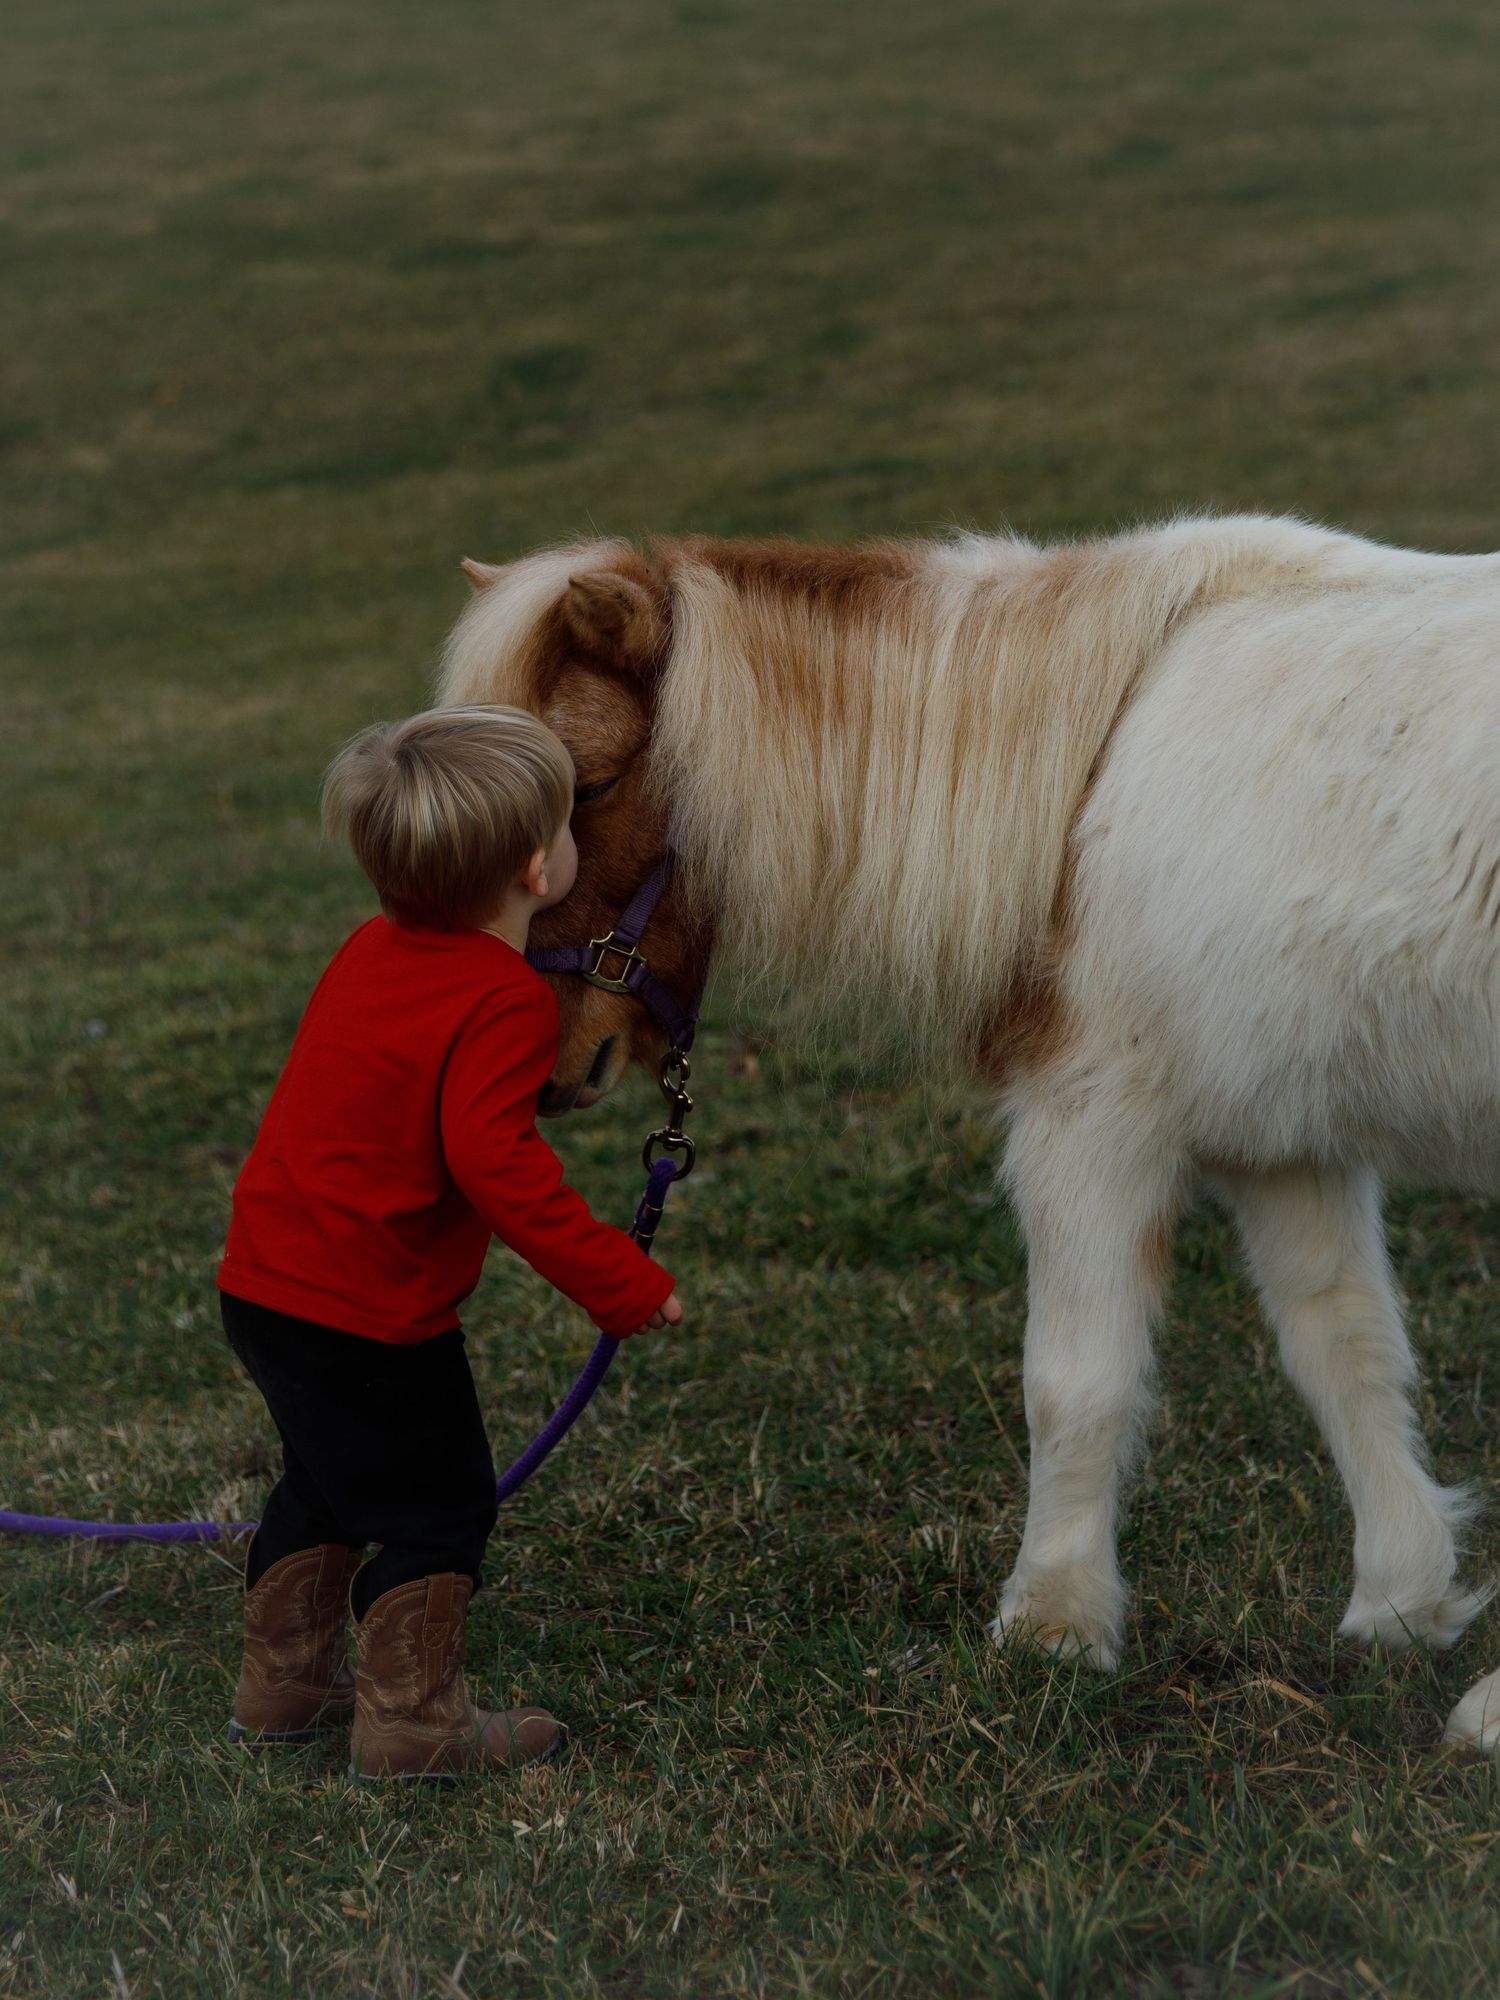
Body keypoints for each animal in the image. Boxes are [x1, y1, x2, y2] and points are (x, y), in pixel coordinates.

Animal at [436, 513, 1500, 1754]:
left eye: (594, 781)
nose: (546, 1065)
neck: (1086, 769)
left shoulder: (1092, 1119)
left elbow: (1075, 1382)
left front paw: (1051, 1626)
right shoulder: (1281, 1134)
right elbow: (1345, 1346)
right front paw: (1400, 1599)